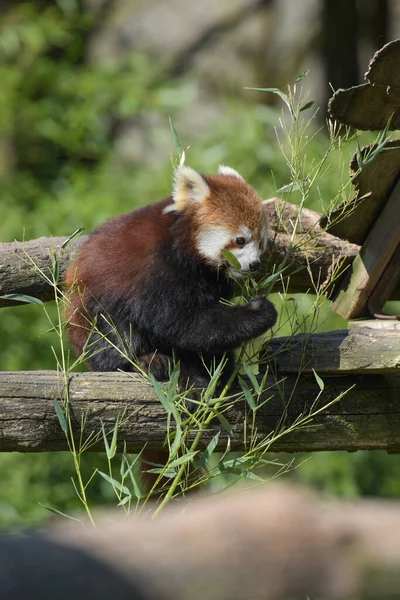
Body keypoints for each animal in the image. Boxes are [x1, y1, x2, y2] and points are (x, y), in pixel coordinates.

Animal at [66, 165, 278, 394]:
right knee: (114, 336)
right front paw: (258, 311)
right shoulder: (159, 270)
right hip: (93, 308)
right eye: (240, 240)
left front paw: (217, 363)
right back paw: (144, 361)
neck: (186, 247)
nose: (254, 264)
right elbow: (181, 321)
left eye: (261, 242)